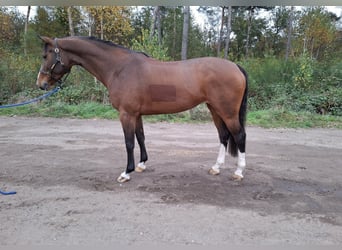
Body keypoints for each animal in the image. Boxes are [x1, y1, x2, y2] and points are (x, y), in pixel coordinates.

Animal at [36, 36, 247, 183]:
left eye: (46, 56)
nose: (41, 84)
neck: (119, 68)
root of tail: (235, 66)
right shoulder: (136, 114)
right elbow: (140, 137)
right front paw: (141, 164)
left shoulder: (126, 114)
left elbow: (129, 142)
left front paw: (126, 172)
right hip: (215, 109)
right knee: (223, 136)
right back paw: (216, 168)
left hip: (227, 112)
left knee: (239, 136)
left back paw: (238, 172)